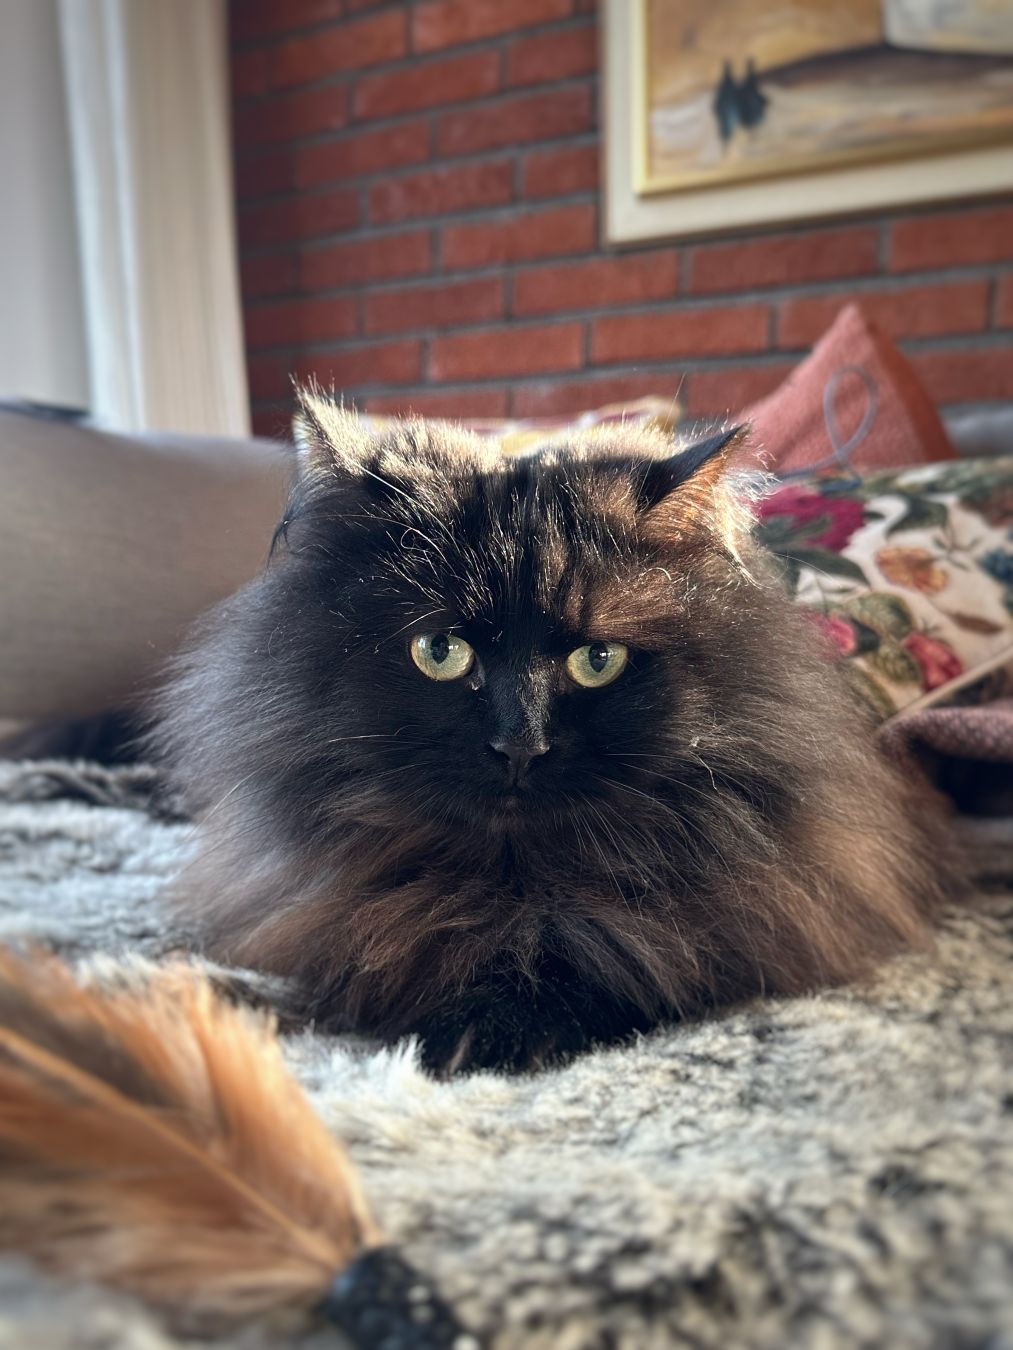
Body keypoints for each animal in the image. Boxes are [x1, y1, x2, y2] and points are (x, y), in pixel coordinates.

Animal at [154, 391, 961, 1074]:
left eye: (597, 660)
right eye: (440, 652)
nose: (520, 743)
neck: (513, 882)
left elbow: (615, 957)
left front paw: (493, 1031)